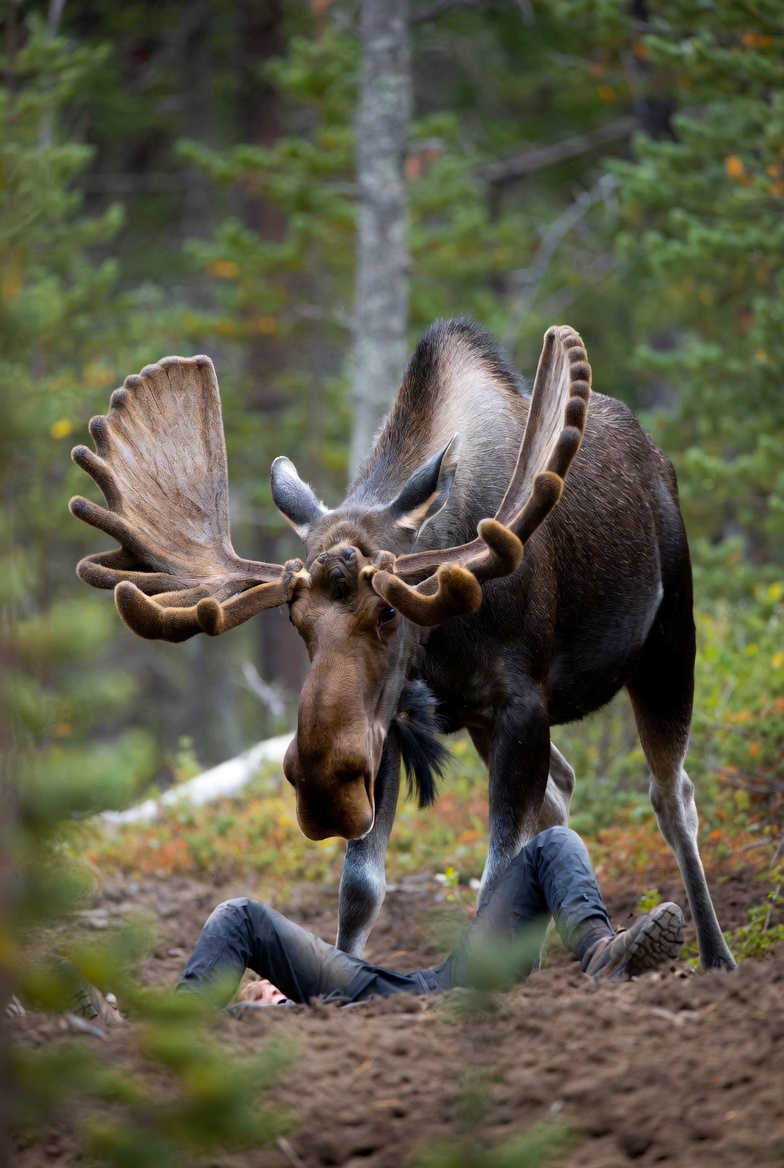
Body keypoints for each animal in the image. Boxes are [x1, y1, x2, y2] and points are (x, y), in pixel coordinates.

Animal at [69, 318, 736, 970]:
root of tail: (659, 460)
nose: (323, 791)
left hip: (669, 643)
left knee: (672, 797)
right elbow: (361, 887)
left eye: (389, 609)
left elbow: (495, 871)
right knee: (562, 791)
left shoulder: (520, 701)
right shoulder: (392, 721)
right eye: (295, 618)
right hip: (488, 720)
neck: (446, 636)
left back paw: (715, 955)